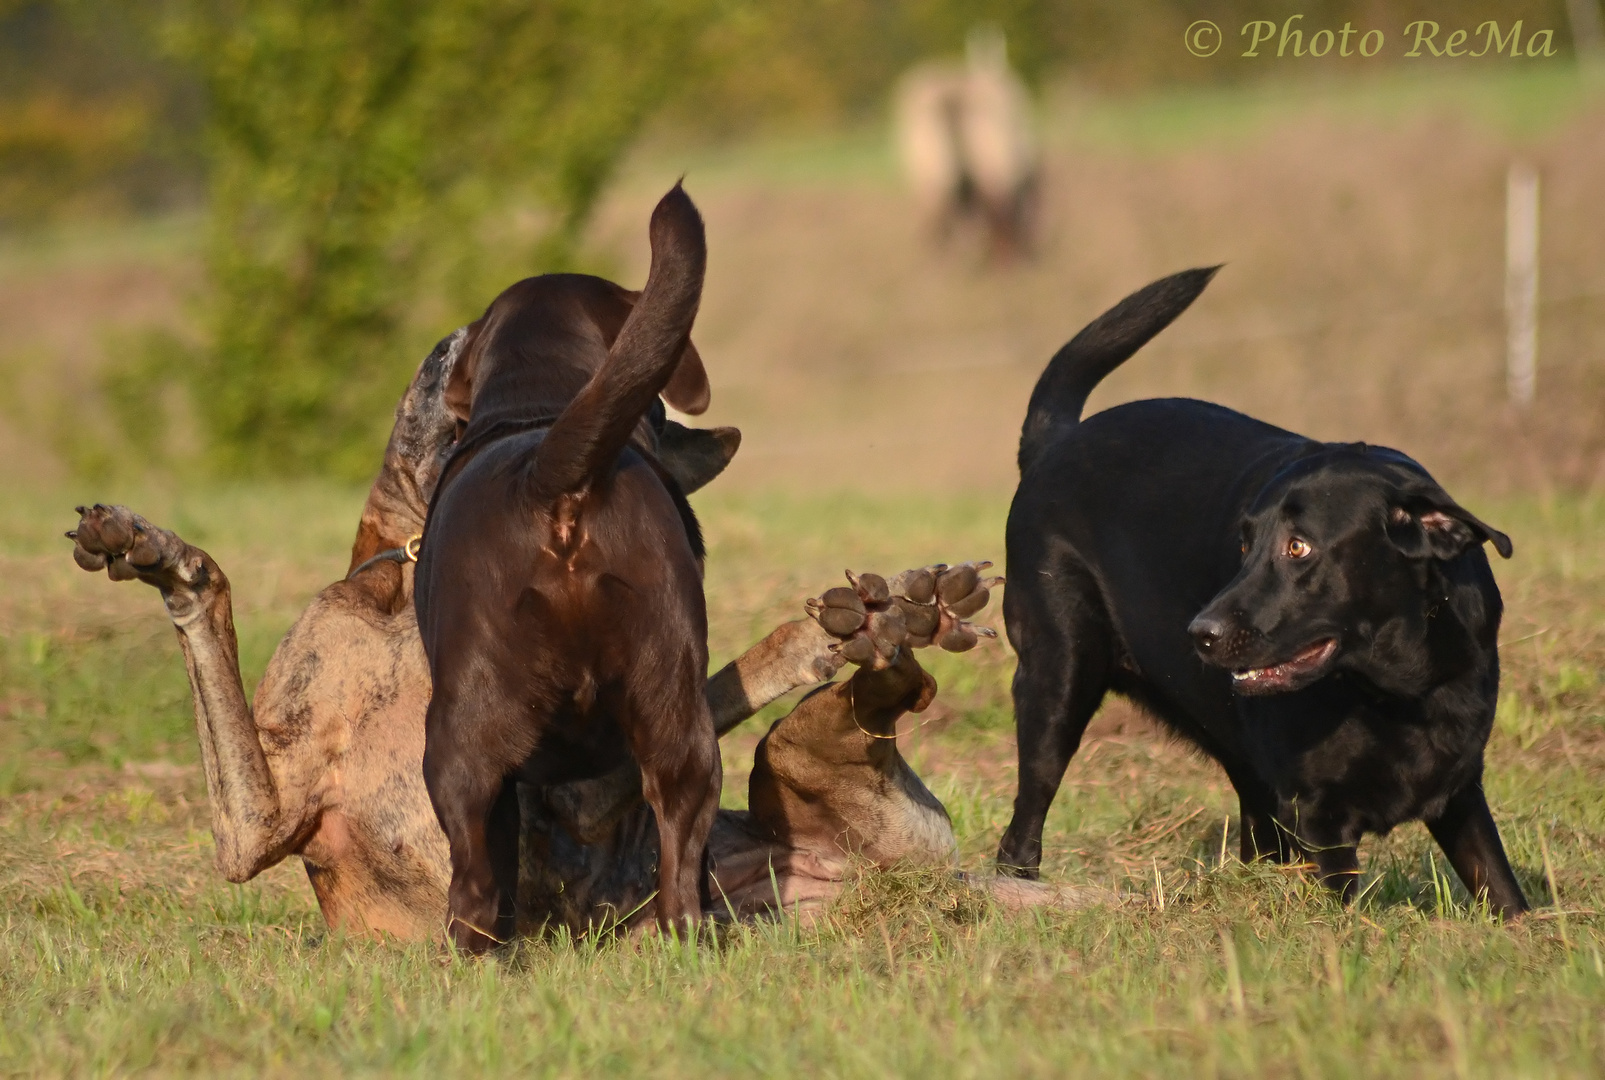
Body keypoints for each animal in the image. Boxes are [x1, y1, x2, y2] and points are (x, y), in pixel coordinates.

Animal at [69, 332, 1084, 937]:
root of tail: (915, 891)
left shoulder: (578, 796)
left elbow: (710, 692)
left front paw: (816, 638)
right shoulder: (257, 823)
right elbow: (208, 603)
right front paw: (153, 550)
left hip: (799, 764)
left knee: (861, 706)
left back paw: (890, 623)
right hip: (798, 770)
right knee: (850, 714)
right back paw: (886, 630)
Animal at [1001, 264, 1527, 911]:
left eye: (1298, 547)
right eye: (1245, 545)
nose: (1199, 633)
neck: (1399, 689)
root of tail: (1053, 444)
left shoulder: (1459, 794)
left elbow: (1505, 893)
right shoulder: (1320, 820)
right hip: (1058, 679)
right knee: (1024, 822)